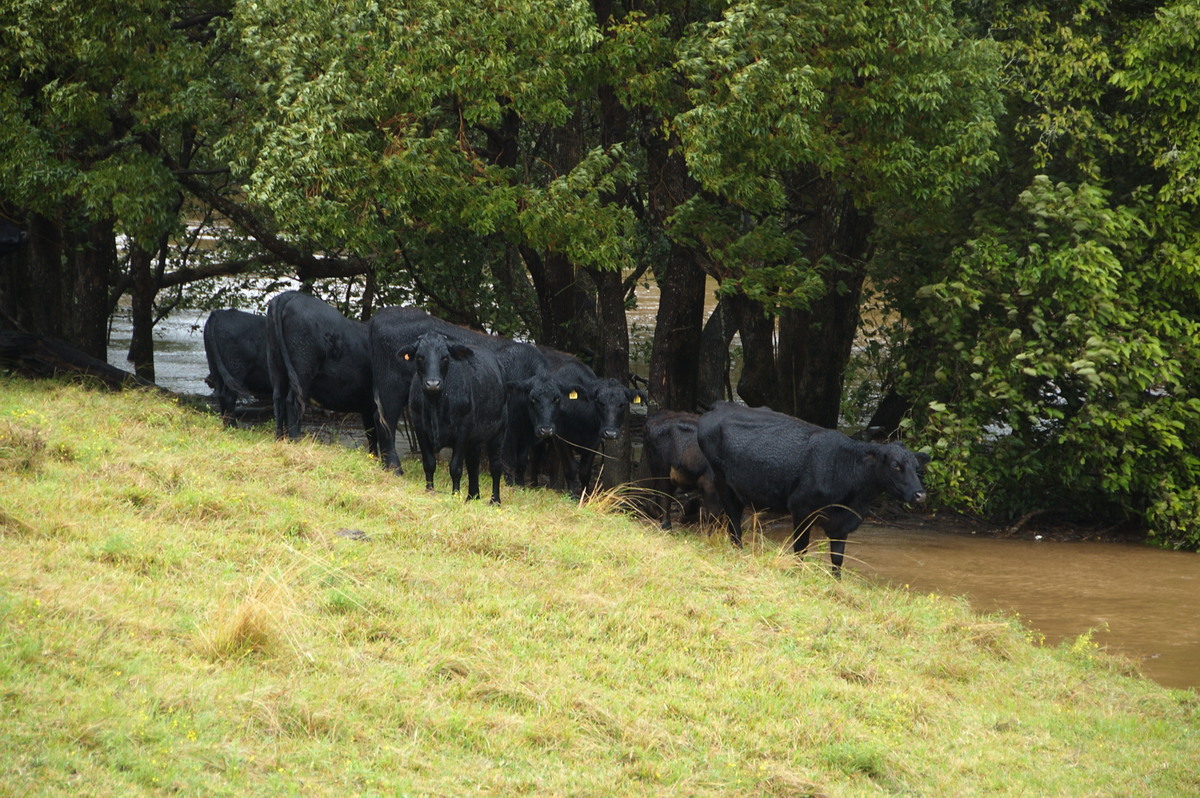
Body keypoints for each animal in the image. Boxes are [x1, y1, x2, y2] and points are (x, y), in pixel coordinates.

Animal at [266, 289, 374, 451]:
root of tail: (289, 295)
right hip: (302, 369)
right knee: (292, 401)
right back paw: (295, 441)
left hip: (276, 365)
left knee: (278, 399)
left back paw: (279, 439)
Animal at [400, 333, 508, 501]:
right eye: (420, 357)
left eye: (445, 357)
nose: (433, 384)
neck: (435, 404)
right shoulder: (419, 427)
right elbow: (429, 463)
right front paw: (429, 490)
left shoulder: (462, 430)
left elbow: (455, 467)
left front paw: (455, 494)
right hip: (474, 439)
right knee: (473, 464)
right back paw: (472, 497)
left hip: (499, 430)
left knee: (495, 466)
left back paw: (494, 500)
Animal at [696, 400, 926, 568]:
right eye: (895, 465)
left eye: (916, 466)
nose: (920, 494)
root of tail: (722, 405)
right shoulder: (801, 509)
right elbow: (801, 548)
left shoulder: (842, 523)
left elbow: (837, 559)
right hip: (722, 484)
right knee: (733, 523)